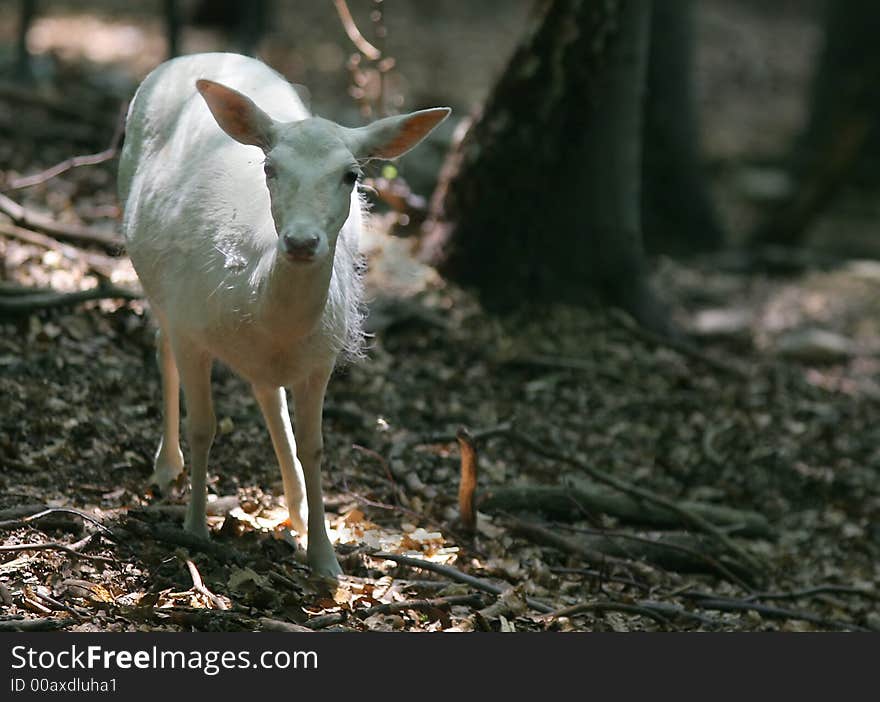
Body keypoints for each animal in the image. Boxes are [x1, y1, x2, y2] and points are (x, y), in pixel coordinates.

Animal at [117, 52, 446, 576]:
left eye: (351, 175)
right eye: (270, 166)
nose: (301, 241)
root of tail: (196, 56)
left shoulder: (322, 356)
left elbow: (314, 445)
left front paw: (325, 559)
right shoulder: (192, 326)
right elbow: (204, 426)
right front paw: (195, 529)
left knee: (267, 391)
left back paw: (296, 510)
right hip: (157, 282)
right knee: (162, 345)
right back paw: (167, 467)